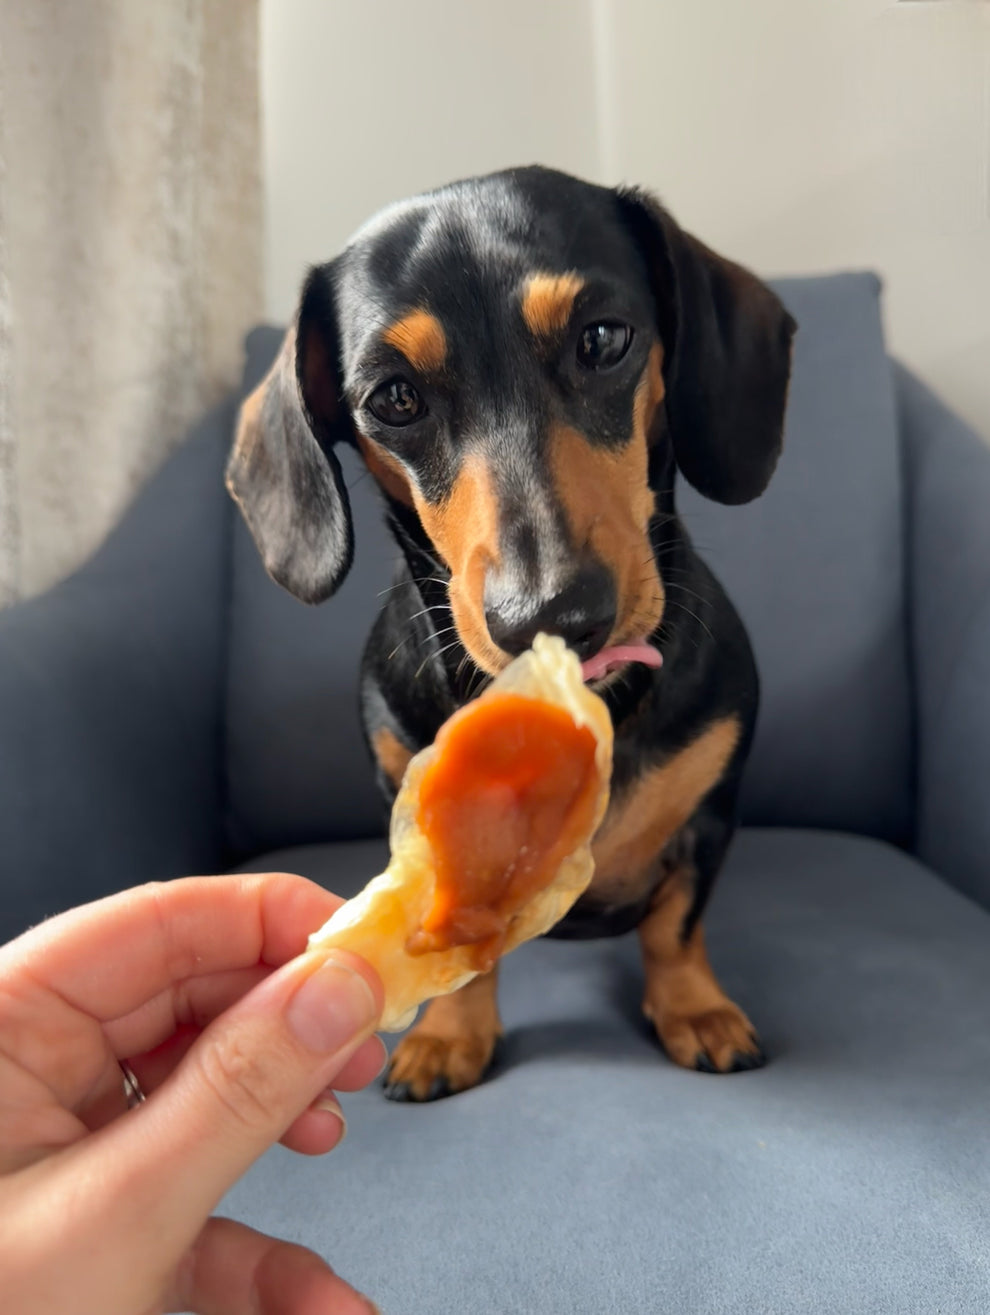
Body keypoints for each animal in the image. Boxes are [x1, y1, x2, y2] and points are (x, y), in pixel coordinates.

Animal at [226, 169, 794, 1104]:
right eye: (394, 398)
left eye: (603, 338)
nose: (551, 613)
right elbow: (470, 946)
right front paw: (450, 1031)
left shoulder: (711, 814)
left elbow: (676, 924)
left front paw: (696, 1011)